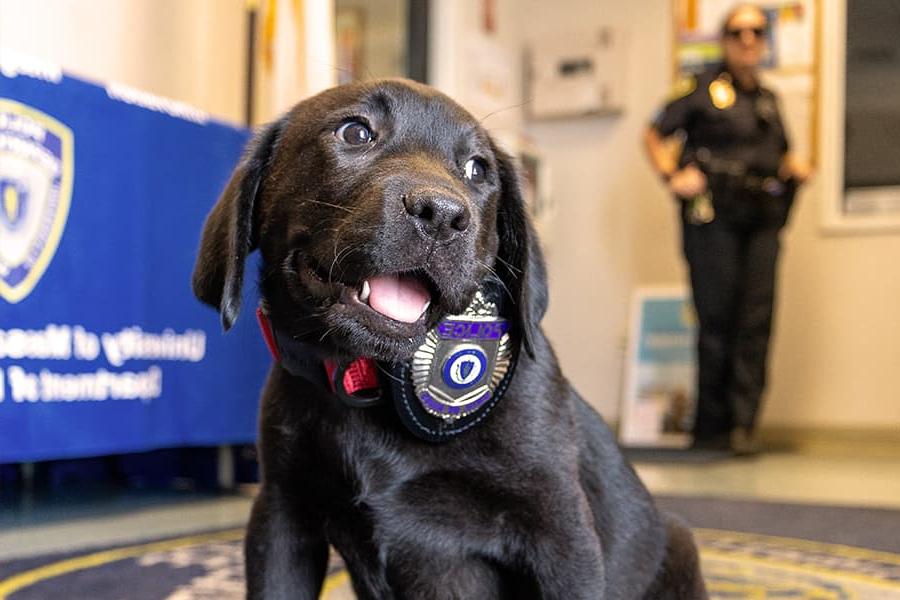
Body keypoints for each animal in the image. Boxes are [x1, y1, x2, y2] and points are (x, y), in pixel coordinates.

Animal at [193, 79, 708, 600]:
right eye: (355, 132)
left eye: (477, 169)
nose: (441, 215)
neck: (370, 380)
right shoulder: (281, 517)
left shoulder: (563, 535)